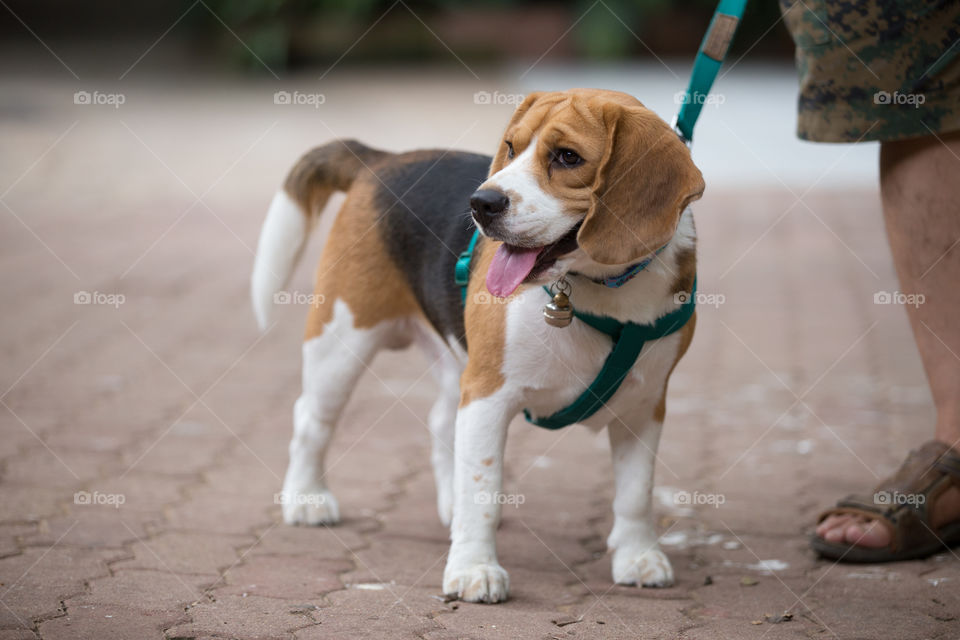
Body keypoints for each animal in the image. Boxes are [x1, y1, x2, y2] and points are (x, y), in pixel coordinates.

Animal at [253, 87, 704, 604]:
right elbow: (482, 488)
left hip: (452, 363)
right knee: (312, 418)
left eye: (568, 157)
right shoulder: (488, 394)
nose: (481, 202)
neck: (599, 290)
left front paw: (637, 556)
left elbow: (635, 492)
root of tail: (382, 160)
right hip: (342, 341)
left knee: (439, 422)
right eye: (510, 147)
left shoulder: (644, 405)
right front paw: (473, 569)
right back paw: (307, 499)